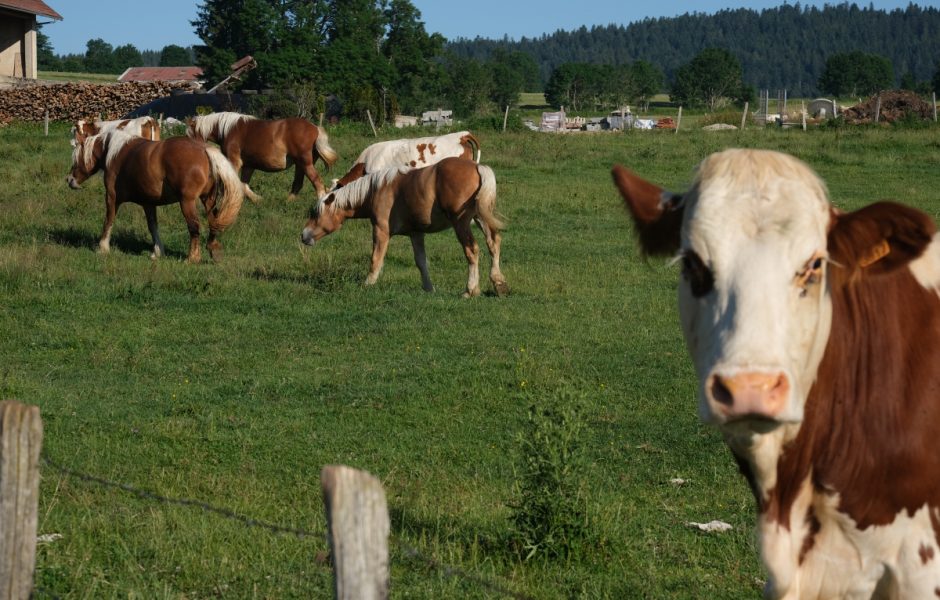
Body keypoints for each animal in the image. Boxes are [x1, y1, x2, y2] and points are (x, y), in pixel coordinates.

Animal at [69, 127, 246, 262]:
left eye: (76, 157)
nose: (69, 180)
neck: (115, 153)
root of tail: (204, 149)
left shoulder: (112, 198)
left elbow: (108, 221)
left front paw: (103, 248)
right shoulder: (148, 203)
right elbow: (153, 226)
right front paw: (158, 252)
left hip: (187, 202)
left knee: (194, 226)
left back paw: (192, 258)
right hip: (208, 200)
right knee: (213, 222)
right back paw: (213, 250)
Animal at [186, 112, 338, 204]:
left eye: (189, 135)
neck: (228, 129)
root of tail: (315, 128)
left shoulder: (234, 161)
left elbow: (232, 183)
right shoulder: (248, 166)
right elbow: (243, 184)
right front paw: (257, 200)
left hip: (305, 163)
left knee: (317, 183)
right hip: (300, 165)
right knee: (298, 184)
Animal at [302, 155, 506, 296]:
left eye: (315, 213)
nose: (303, 235)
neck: (376, 190)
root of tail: (477, 167)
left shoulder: (381, 231)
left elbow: (376, 259)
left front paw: (368, 284)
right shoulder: (416, 234)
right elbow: (421, 262)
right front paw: (429, 288)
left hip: (461, 224)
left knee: (472, 250)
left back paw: (470, 290)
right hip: (481, 219)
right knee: (493, 243)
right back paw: (499, 284)